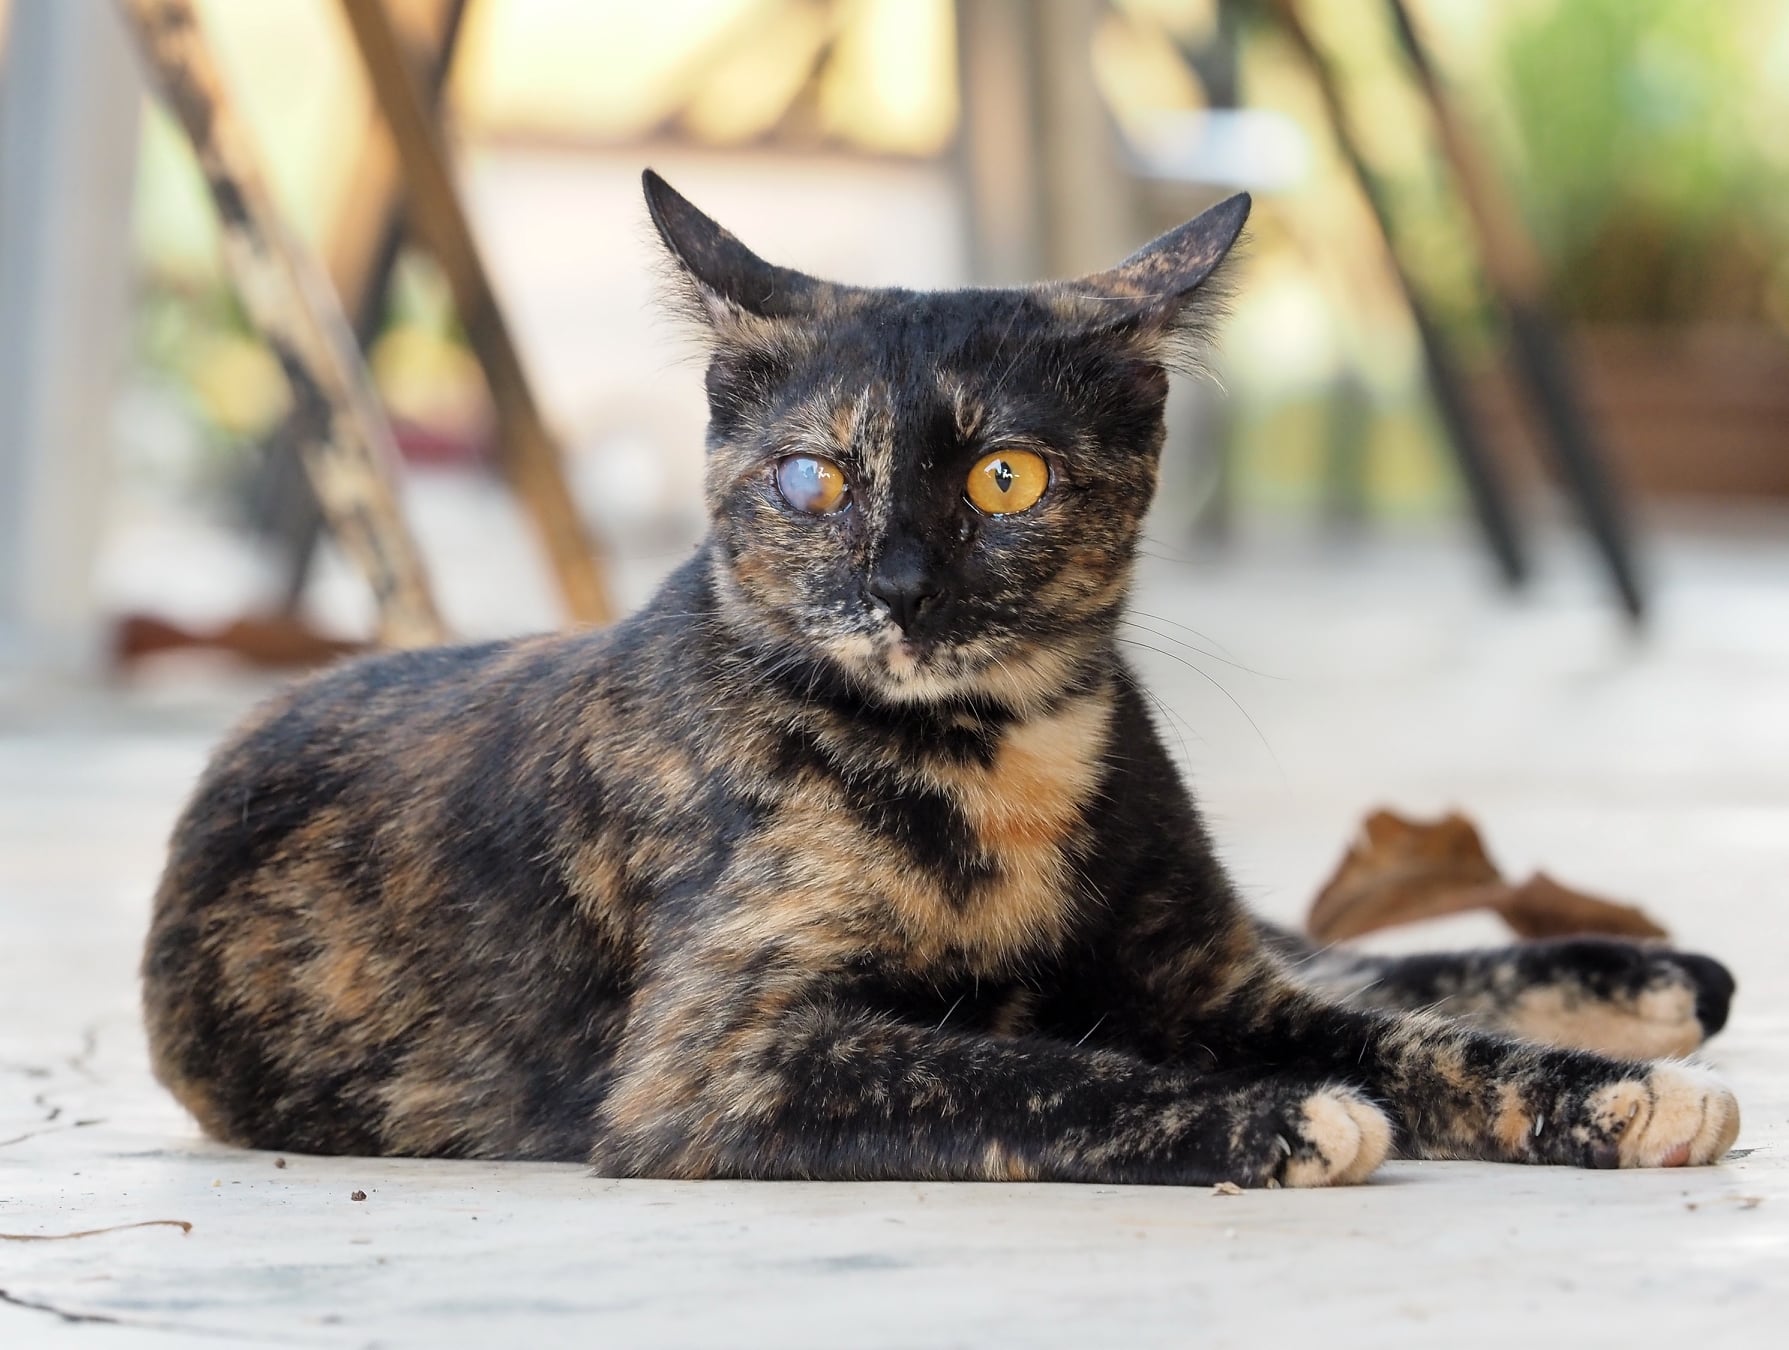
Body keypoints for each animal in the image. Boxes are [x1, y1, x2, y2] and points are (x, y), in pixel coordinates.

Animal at [140, 171, 1739, 1185]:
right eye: (809, 479)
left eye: (1004, 476)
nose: (901, 588)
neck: (994, 752)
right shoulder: (713, 1064)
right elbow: (1021, 1070)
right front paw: (1280, 1117)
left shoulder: (1200, 978)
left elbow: (1425, 1045)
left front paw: (1614, 1101)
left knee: (1339, 956)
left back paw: (1651, 985)